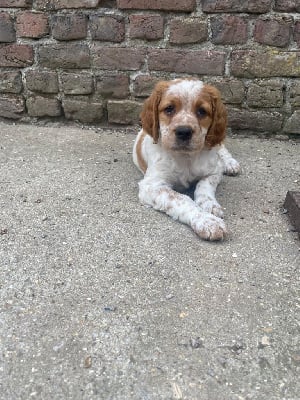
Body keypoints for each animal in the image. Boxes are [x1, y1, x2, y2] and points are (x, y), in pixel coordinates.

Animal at [132, 78, 240, 241]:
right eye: (169, 109)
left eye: (202, 111)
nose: (184, 132)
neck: (185, 157)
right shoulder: (152, 185)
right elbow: (182, 199)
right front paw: (207, 221)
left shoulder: (214, 172)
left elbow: (204, 186)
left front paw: (210, 205)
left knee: (221, 148)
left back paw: (230, 163)